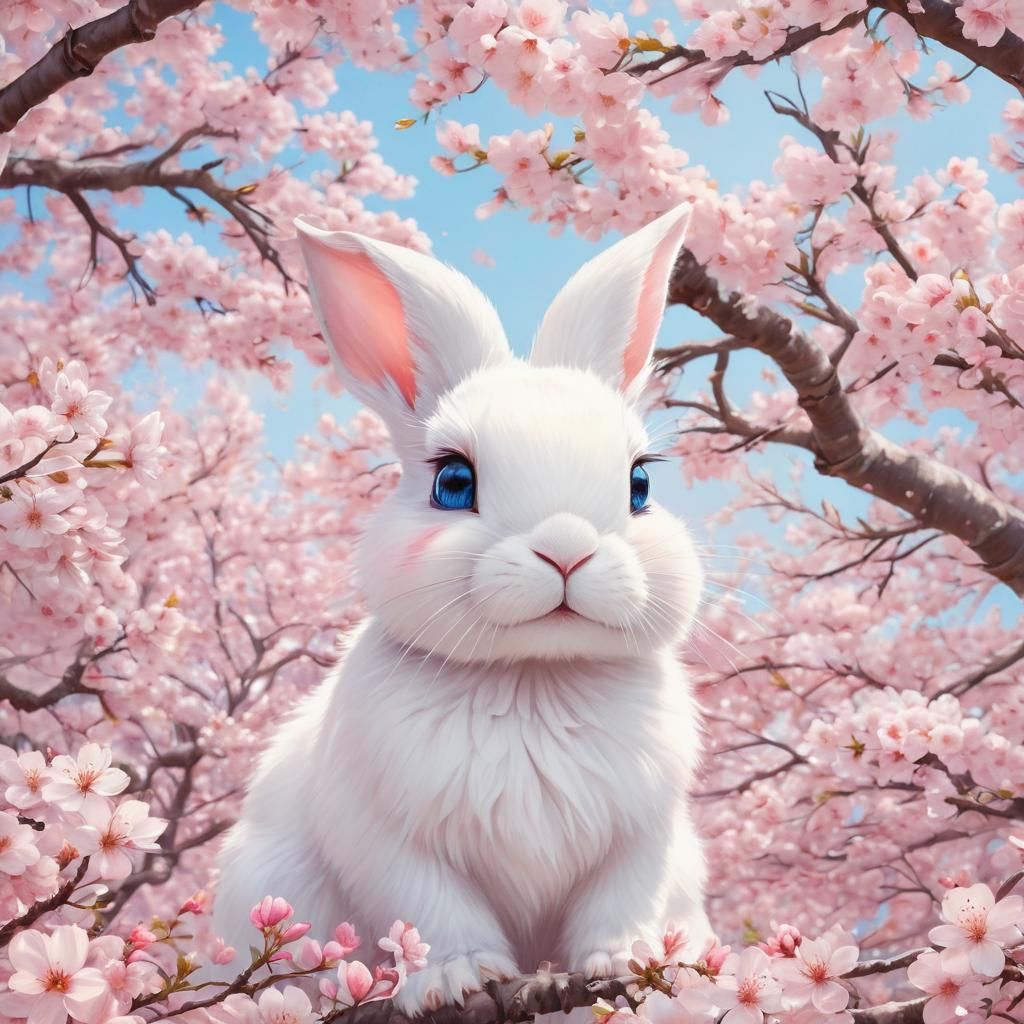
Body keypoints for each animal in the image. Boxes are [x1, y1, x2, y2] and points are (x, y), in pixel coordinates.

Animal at [212, 203, 711, 1016]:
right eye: (452, 482)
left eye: (640, 484)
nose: (566, 549)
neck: (533, 676)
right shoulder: (388, 839)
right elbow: (434, 911)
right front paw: (458, 979)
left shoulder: (642, 837)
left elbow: (619, 902)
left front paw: (629, 961)